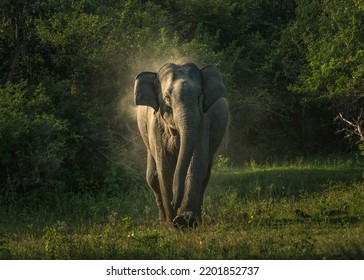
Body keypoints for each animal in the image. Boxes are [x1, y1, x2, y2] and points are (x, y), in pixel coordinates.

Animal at [134, 61, 230, 228]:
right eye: (166, 98)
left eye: (199, 96)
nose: (174, 202)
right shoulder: (155, 125)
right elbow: (164, 168)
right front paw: (171, 222)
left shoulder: (203, 121)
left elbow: (196, 162)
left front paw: (184, 221)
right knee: (152, 177)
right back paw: (162, 221)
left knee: (205, 175)